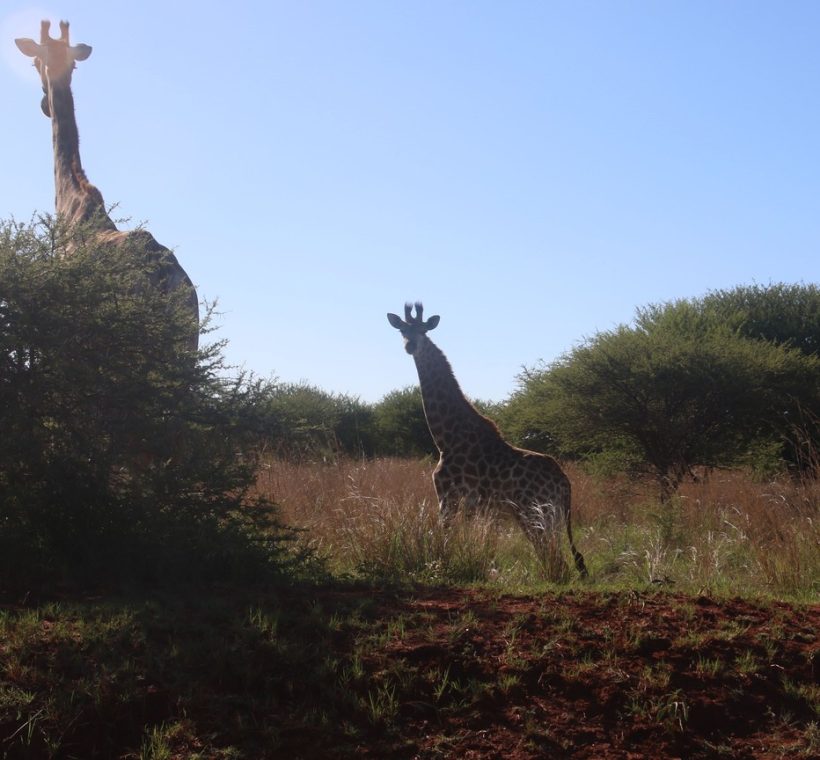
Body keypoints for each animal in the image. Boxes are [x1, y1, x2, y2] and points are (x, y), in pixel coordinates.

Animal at [387, 302, 588, 577]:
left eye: (423, 330)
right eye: (402, 330)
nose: (410, 346)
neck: (446, 438)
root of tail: (566, 484)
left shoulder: (448, 497)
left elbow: (444, 539)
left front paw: (442, 568)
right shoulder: (476, 508)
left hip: (534, 515)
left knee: (555, 560)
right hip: (545, 518)